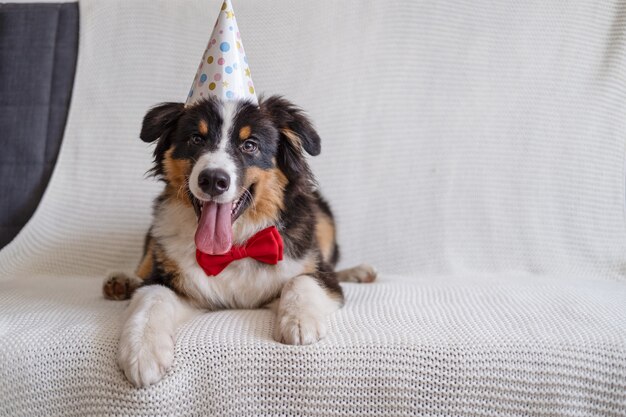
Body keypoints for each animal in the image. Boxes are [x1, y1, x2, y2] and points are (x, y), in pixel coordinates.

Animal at [103, 95, 376, 386]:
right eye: (196, 139)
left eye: (250, 145)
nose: (213, 180)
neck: (235, 247)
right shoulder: (175, 282)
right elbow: (152, 297)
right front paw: (142, 351)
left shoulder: (318, 271)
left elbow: (302, 280)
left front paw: (300, 322)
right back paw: (121, 280)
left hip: (324, 217)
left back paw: (360, 271)